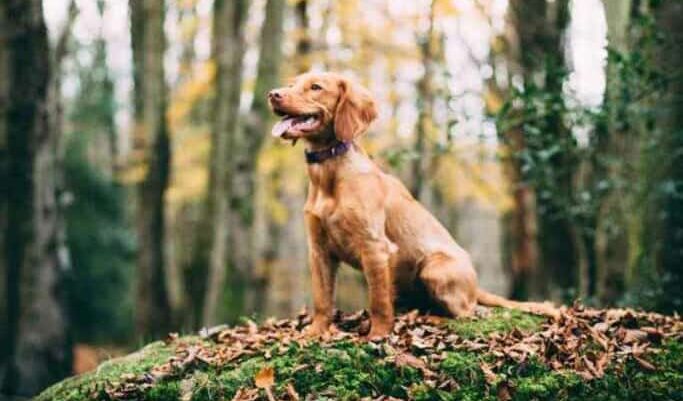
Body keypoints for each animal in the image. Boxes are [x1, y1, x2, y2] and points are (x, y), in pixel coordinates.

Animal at [266, 72, 556, 338]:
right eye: (291, 84)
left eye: (315, 87)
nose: (273, 94)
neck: (329, 176)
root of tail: (476, 286)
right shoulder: (319, 250)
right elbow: (322, 298)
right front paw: (315, 333)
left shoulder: (374, 247)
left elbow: (378, 302)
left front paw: (377, 336)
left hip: (434, 269)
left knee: (467, 312)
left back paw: (431, 319)